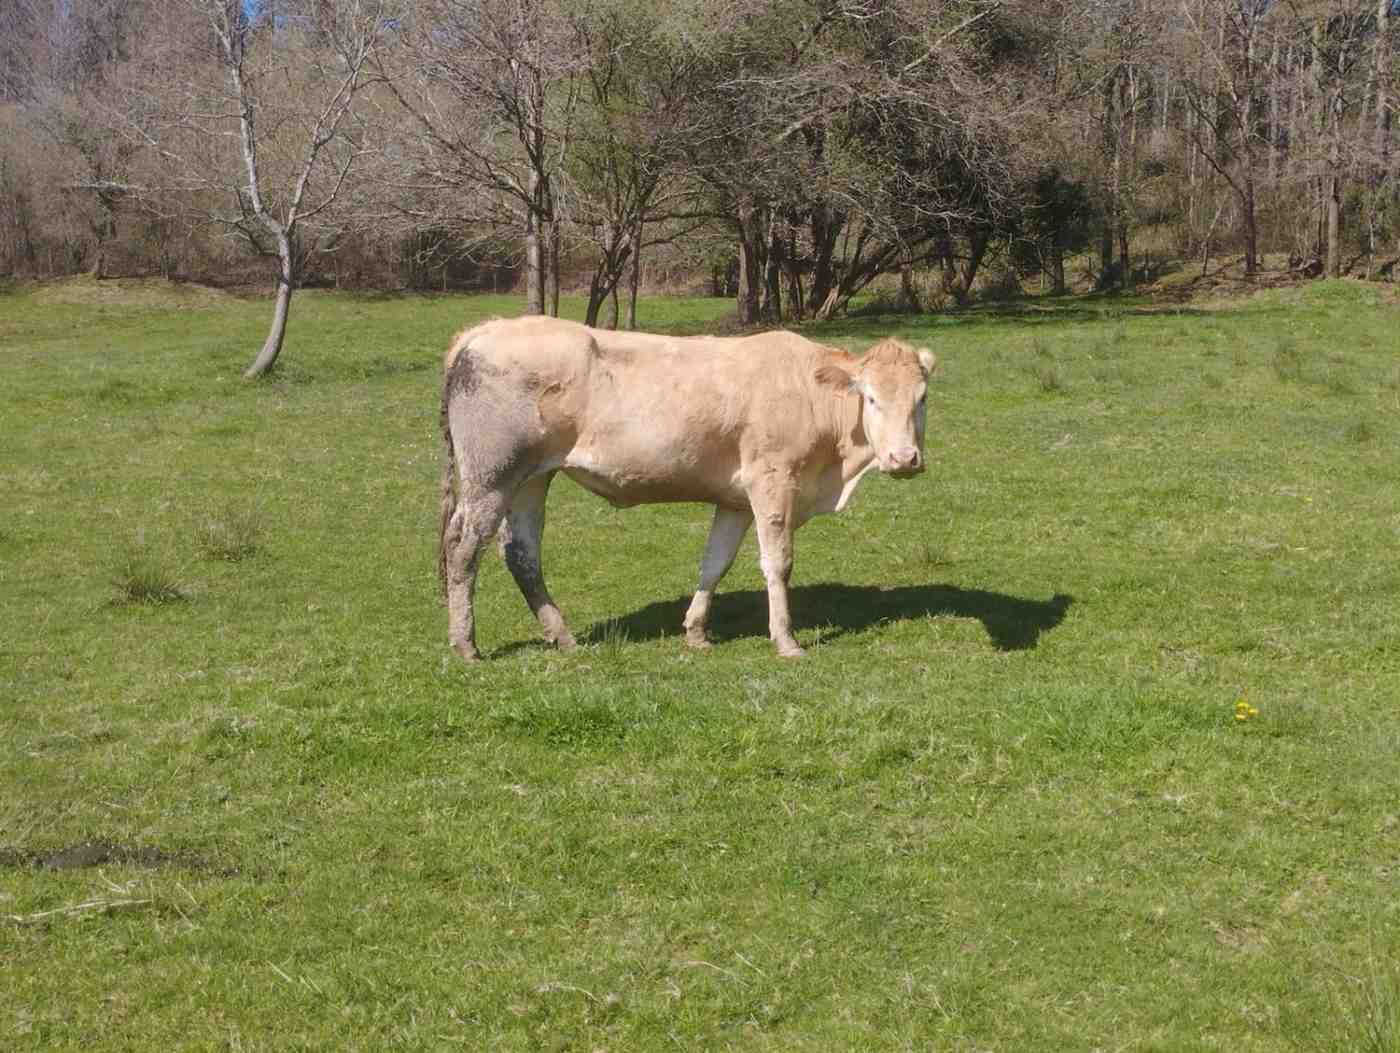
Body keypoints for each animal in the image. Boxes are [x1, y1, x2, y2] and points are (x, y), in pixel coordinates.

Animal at [438, 316, 935, 660]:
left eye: (922, 398)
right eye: (870, 397)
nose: (904, 459)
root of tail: (484, 330)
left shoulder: (735, 499)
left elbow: (714, 563)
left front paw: (696, 632)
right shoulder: (772, 482)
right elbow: (777, 564)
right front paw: (786, 640)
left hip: (532, 478)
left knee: (521, 553)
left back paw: (562, 636)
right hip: (491, 476)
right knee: (462, 548)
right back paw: (466, 645)